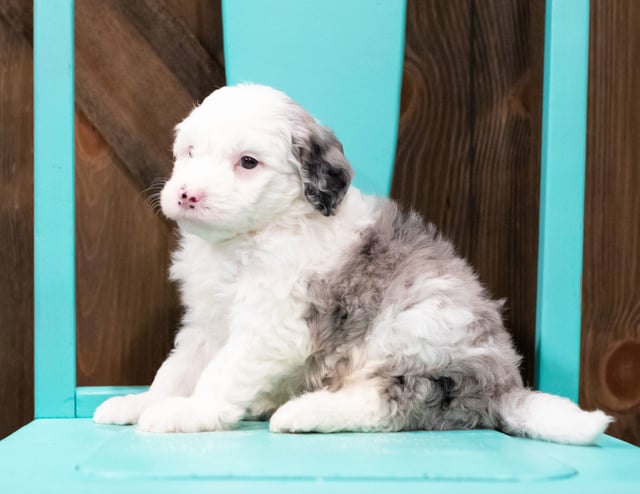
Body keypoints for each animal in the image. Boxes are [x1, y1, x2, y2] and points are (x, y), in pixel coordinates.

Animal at [94, 82, 608, 444]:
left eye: (248, 162)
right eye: (189, 153)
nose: (187, 195)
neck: (250, 237)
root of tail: (503, 388)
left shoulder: (271, 324)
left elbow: (221, 372)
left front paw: (187, 412)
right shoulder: (206, 322)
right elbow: (177, 369)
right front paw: (142, 403)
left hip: (419, 327)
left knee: (399, 403)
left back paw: (305, 412)